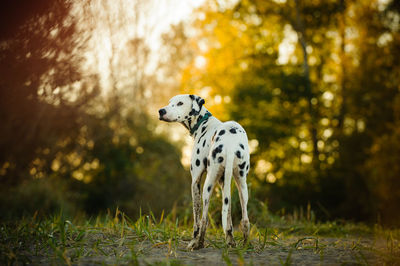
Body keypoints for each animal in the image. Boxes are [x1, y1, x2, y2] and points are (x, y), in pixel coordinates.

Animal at [159, 94, 250, 250]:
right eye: (170, 102)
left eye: (180, 103)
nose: (161, 111)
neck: (204, 124)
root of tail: (231, 144)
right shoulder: (224, 183)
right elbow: (228, 216)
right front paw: (230, 240)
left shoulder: (195, 181)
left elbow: (197, 217)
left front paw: (193, 240)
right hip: (242, 186)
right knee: (245, 219)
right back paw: (244, 244)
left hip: (208, 186)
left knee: (204, 219)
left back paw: (198, 243)